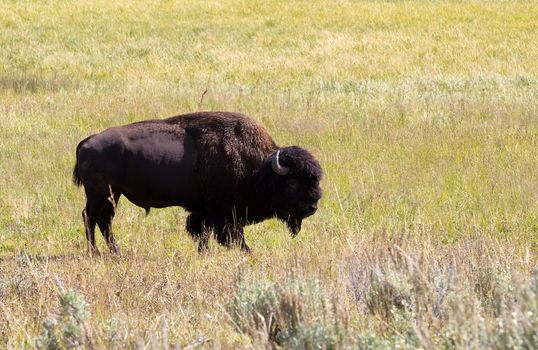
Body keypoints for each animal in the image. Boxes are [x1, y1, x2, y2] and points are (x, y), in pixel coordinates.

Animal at [73, 111, 320, 254]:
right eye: (292, 183)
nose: (312, 207)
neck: (261, 169)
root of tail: (87, 141)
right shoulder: (224, 214)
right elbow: (230, 236)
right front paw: (246, 252)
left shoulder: (204, 212)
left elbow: (201, 233)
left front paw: (204, 253)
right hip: (101, 194)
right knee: (92, 218)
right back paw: (95, 253)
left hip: (111, 195)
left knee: (103, 221)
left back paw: (114, 253)